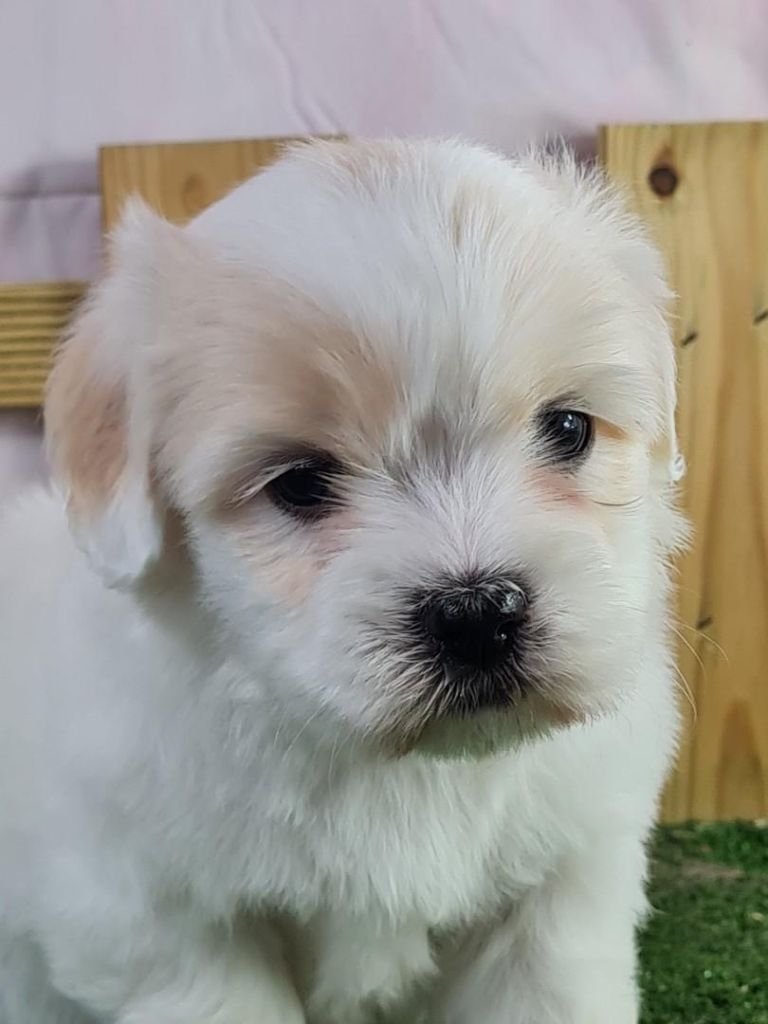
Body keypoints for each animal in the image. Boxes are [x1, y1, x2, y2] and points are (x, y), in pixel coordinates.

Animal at [0, 138, 684, 1024]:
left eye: (568, 428)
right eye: (298, 483)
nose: (477, 613)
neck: (402, 769)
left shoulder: (559, 884)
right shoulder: (151, 912)